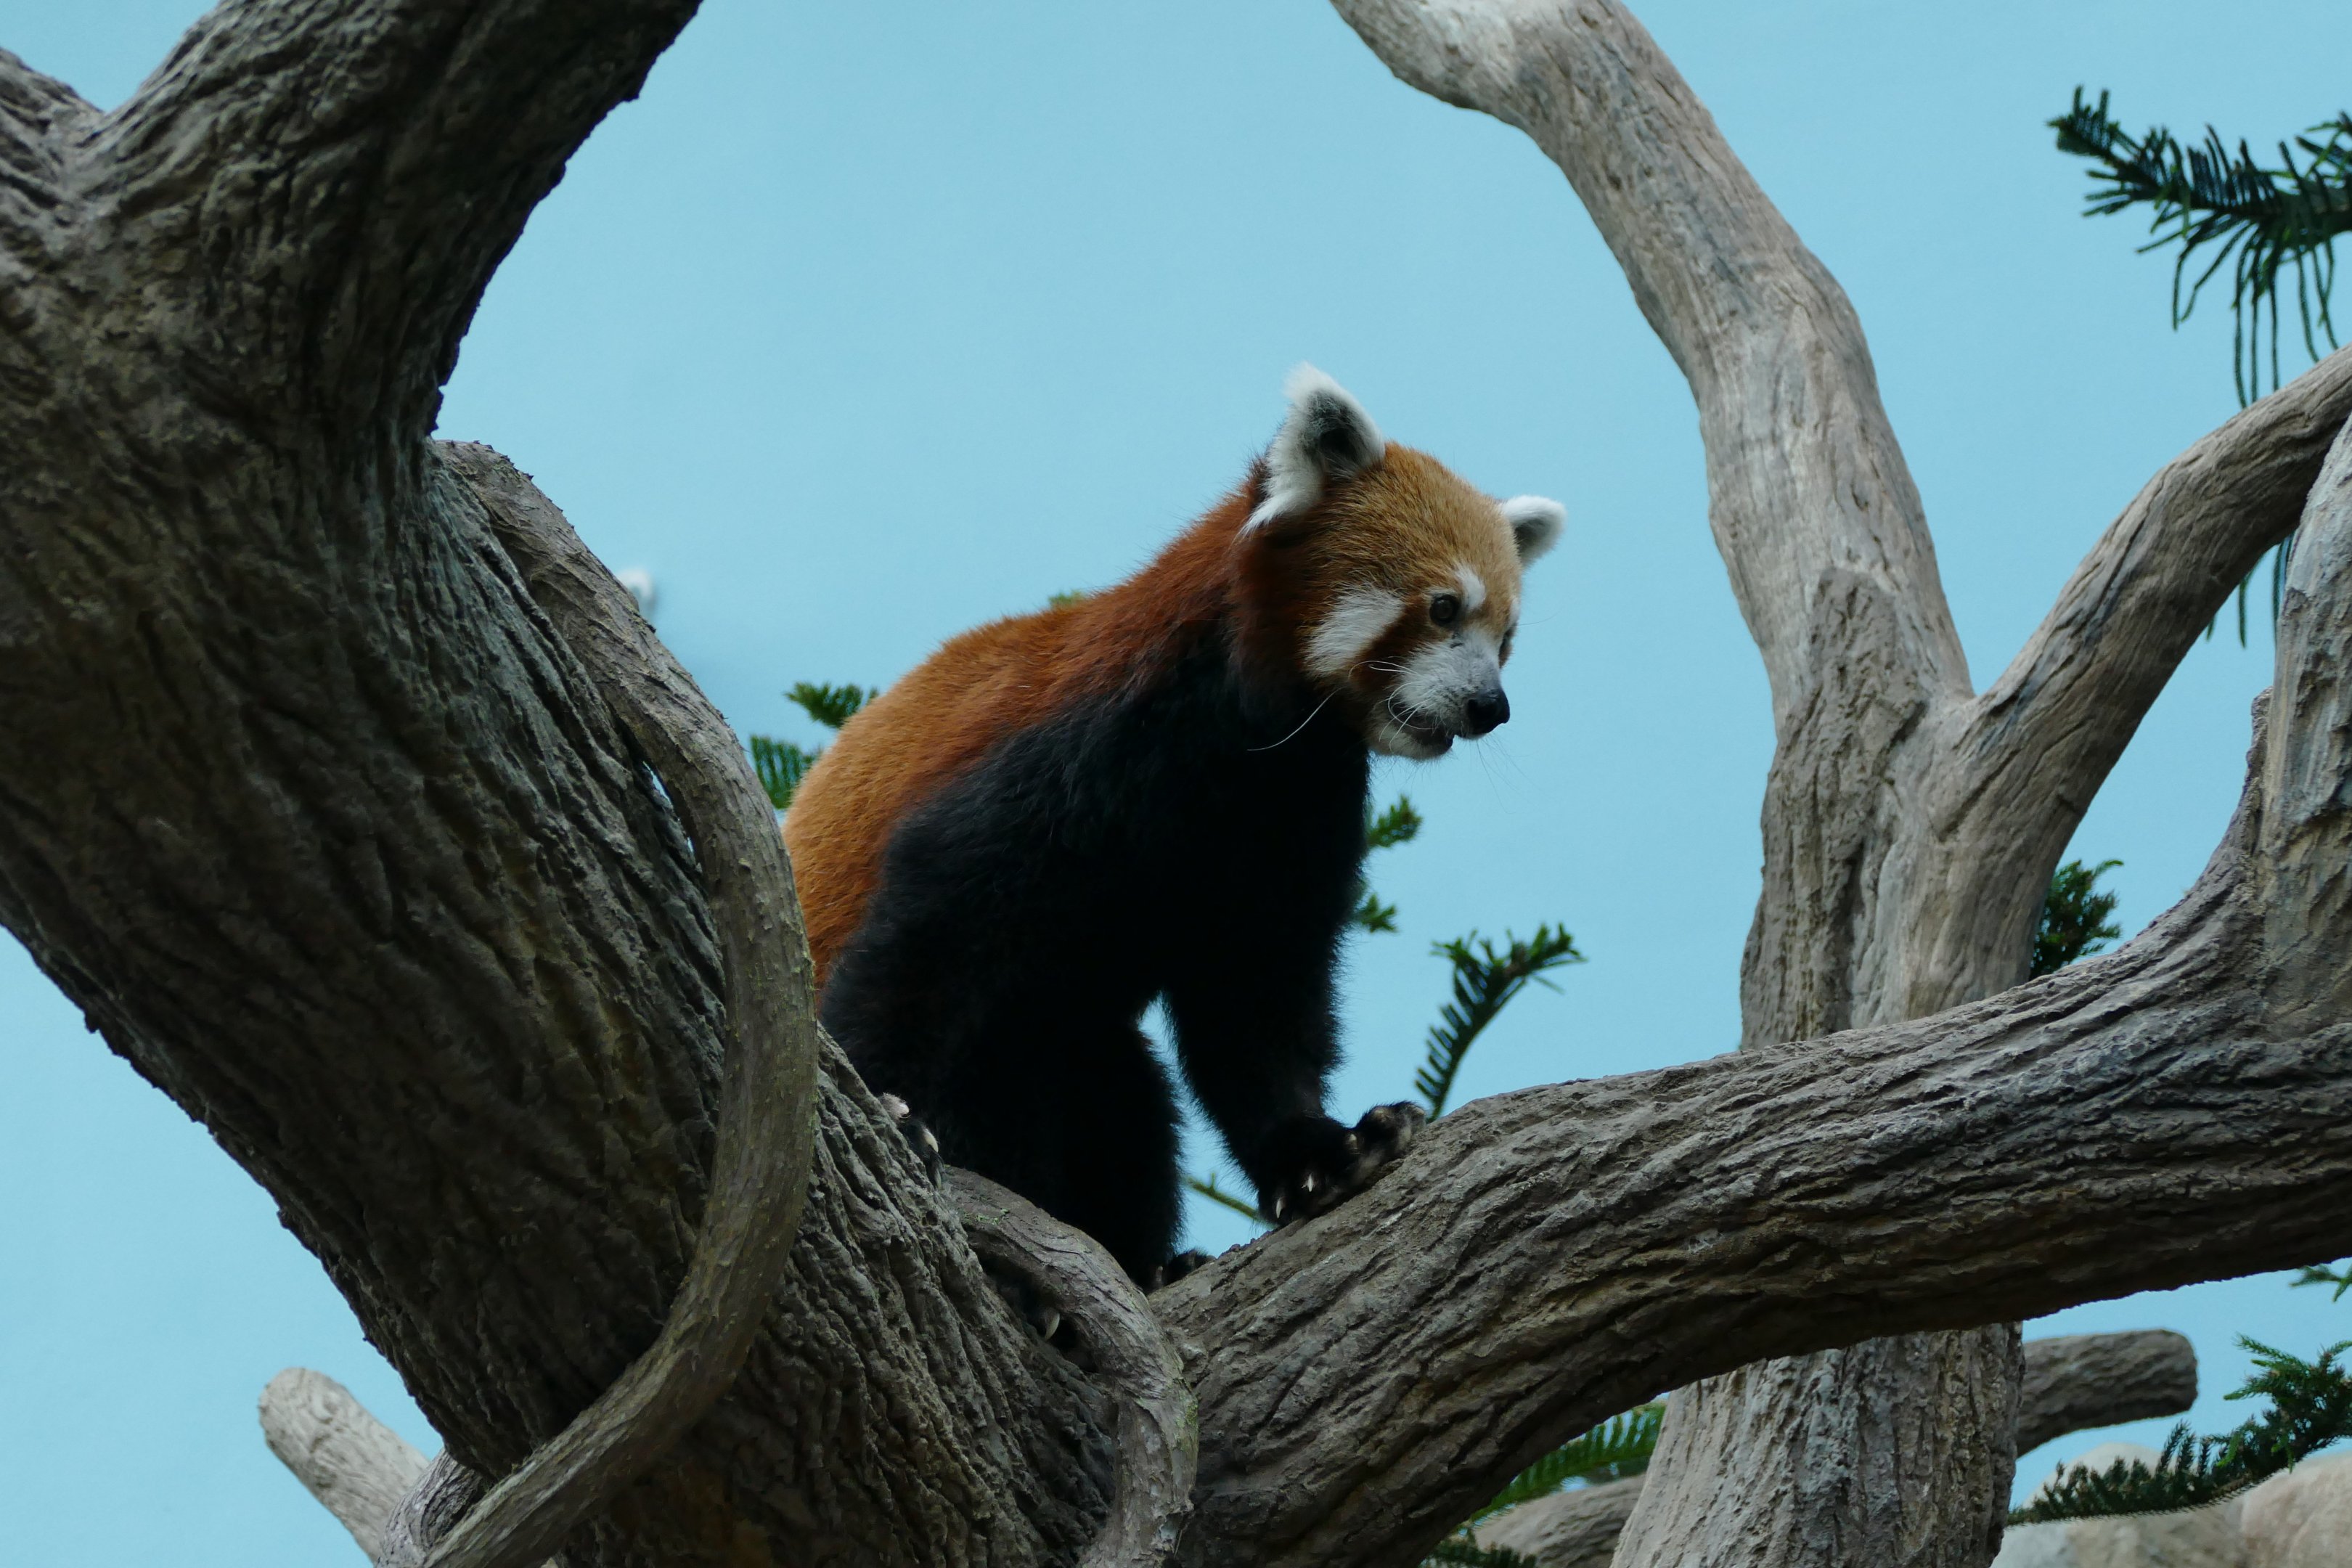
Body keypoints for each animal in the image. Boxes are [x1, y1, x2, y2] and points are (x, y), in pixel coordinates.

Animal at [785, 366, 1562, 1287]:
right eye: (1444, 609)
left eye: (1505, 637)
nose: (1491, 706)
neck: (1245, 744)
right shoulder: (1081, 753)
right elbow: (925, 936)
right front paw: (889, 1107)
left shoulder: (1295, 812)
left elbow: (1256, 996)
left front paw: (1319, 1151)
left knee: (1118, 1095)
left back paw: (1149, 1262)